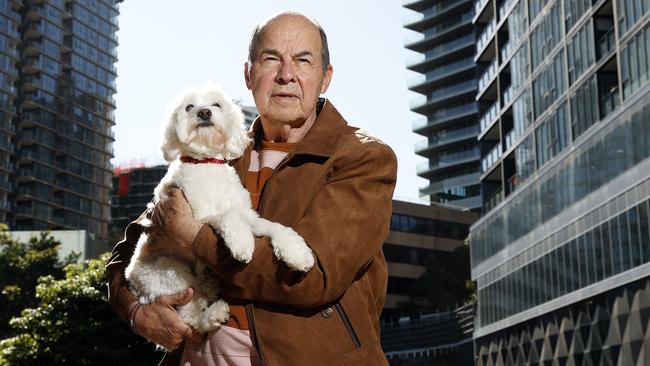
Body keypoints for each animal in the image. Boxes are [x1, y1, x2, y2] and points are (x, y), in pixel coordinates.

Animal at [124, 81, 314, 338]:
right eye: (189, 107)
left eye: (216, 104)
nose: (204, 113)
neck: (207, 164)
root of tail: (132, 281)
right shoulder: (199, 214)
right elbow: (228, 216)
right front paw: (242, 244)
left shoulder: (248, 214)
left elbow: (275, 227)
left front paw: (297, 252)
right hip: (172, 271)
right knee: (190, 318)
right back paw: (213, 315)